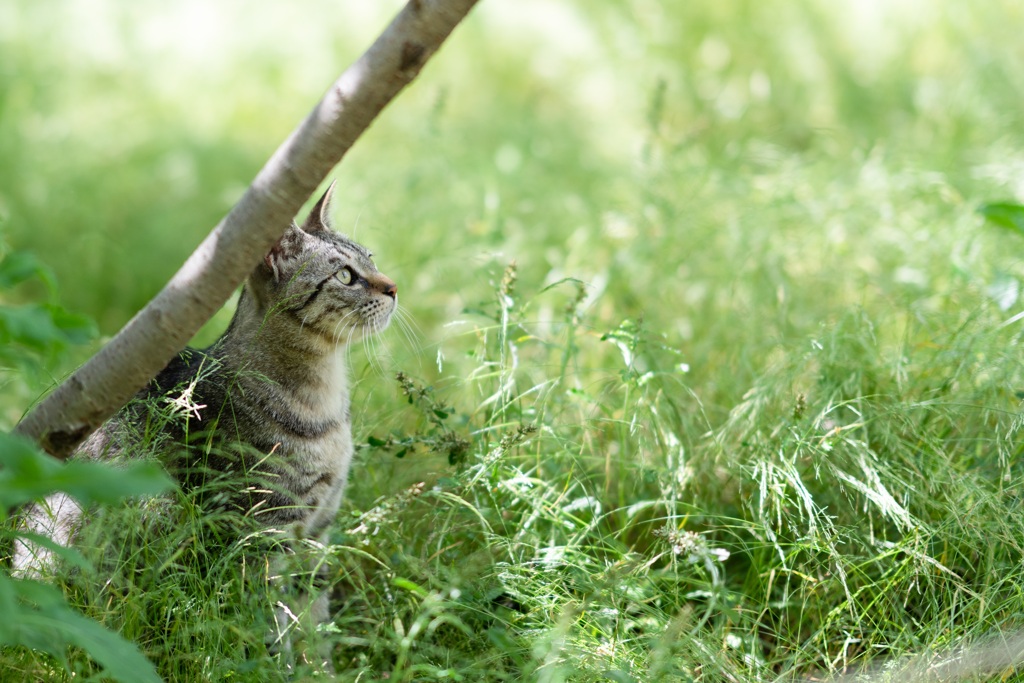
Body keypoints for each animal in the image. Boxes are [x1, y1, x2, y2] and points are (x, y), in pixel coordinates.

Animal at [12, 181, 395, 663]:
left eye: (371, 259)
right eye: (346, 275)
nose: (394, 287)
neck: (323, 408)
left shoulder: (317, 531)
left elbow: (316, 623)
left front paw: (321, 668)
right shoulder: (262, 534)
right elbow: (274, 625)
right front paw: (277, 666)